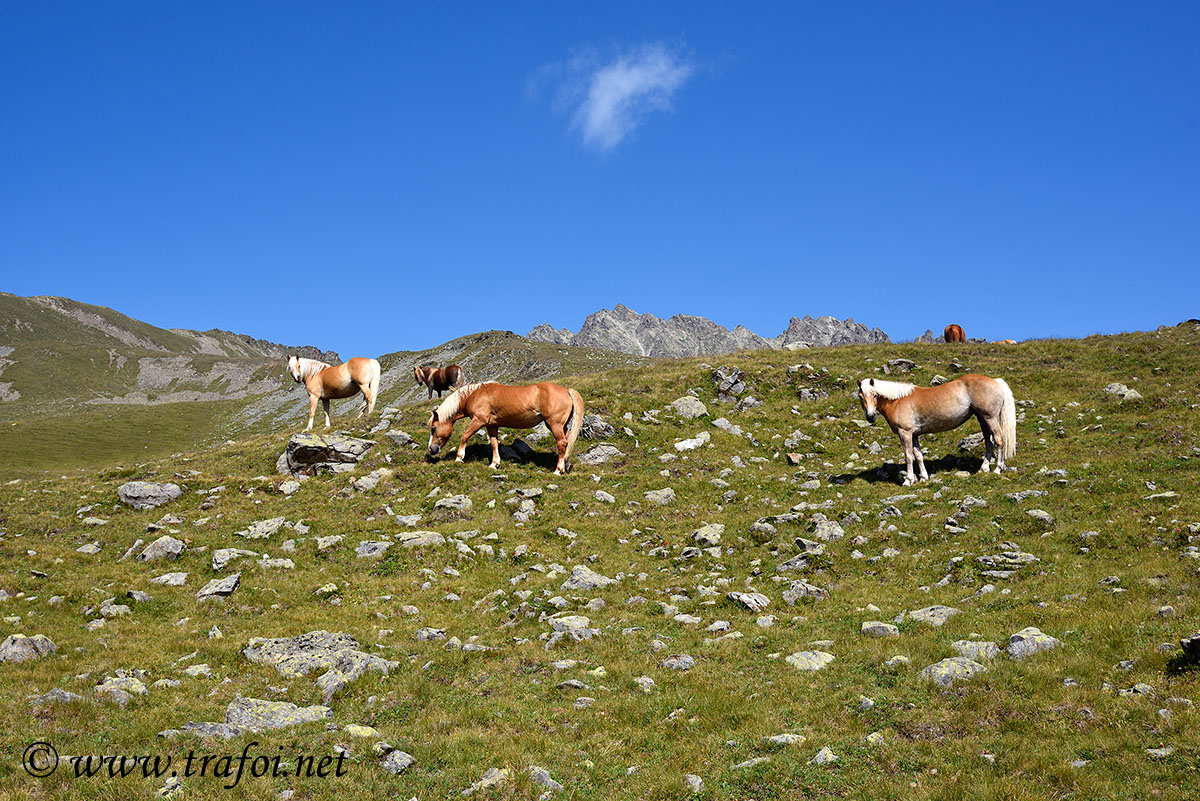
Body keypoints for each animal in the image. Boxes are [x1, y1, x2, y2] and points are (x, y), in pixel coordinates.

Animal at [429, 378, 583, 472]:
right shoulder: (492, 425)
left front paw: (459, 458)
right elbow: (494, 443)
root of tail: (566, 390)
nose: (431, 449)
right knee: (567, 442)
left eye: (433, 428)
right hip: (561, 426)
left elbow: (464, 436)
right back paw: (565, 465)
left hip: (554, 424)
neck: (475, 394)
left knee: (562, 443)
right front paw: (494, 464)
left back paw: (558, 470)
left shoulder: (478, 421)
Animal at [859, 376, 1017, 489]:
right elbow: (918, 455)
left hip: (990, 418)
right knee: (989, 443)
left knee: (999, 440)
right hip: (982, 419)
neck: (897, 400)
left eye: (875, 395)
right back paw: (983, 469)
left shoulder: (905, 434)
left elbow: (908, 456)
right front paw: (923, 478)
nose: (870, 417)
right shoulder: (914, 435)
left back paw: (997, 469)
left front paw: (908, 480)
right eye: (860, 396)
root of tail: (996, 381)